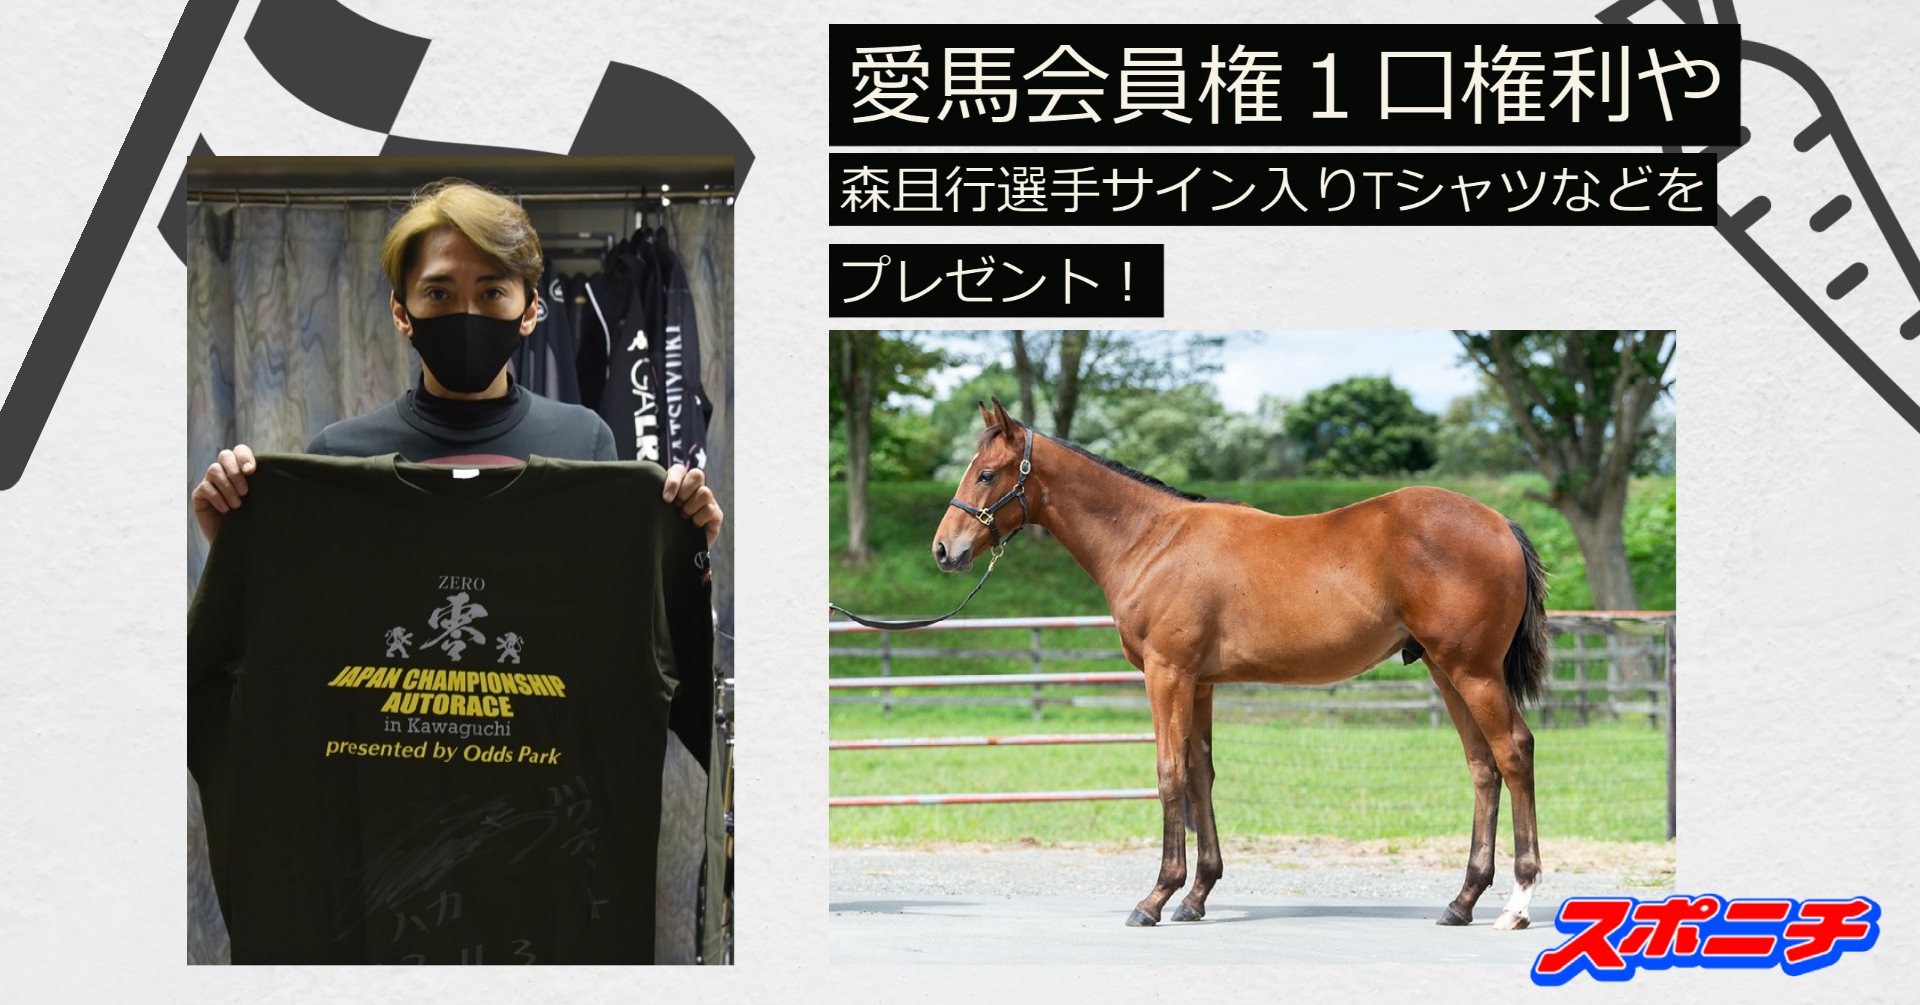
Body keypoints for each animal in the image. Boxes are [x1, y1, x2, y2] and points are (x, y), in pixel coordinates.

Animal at [930, 399, 1551, 931]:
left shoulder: (1167, 675)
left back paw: (1517, 903)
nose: (943, 550)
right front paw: (1197, 895)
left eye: (986, 473)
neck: (1151, 541)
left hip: (1473, 671)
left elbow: (1169, 775)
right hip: (1446, 672)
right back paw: (1462, 901)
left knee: (1514, 753)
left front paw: (1156, 898)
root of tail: (1500, 523)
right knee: (1482, 767)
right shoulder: (1200, 683)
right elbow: (1200, 775)